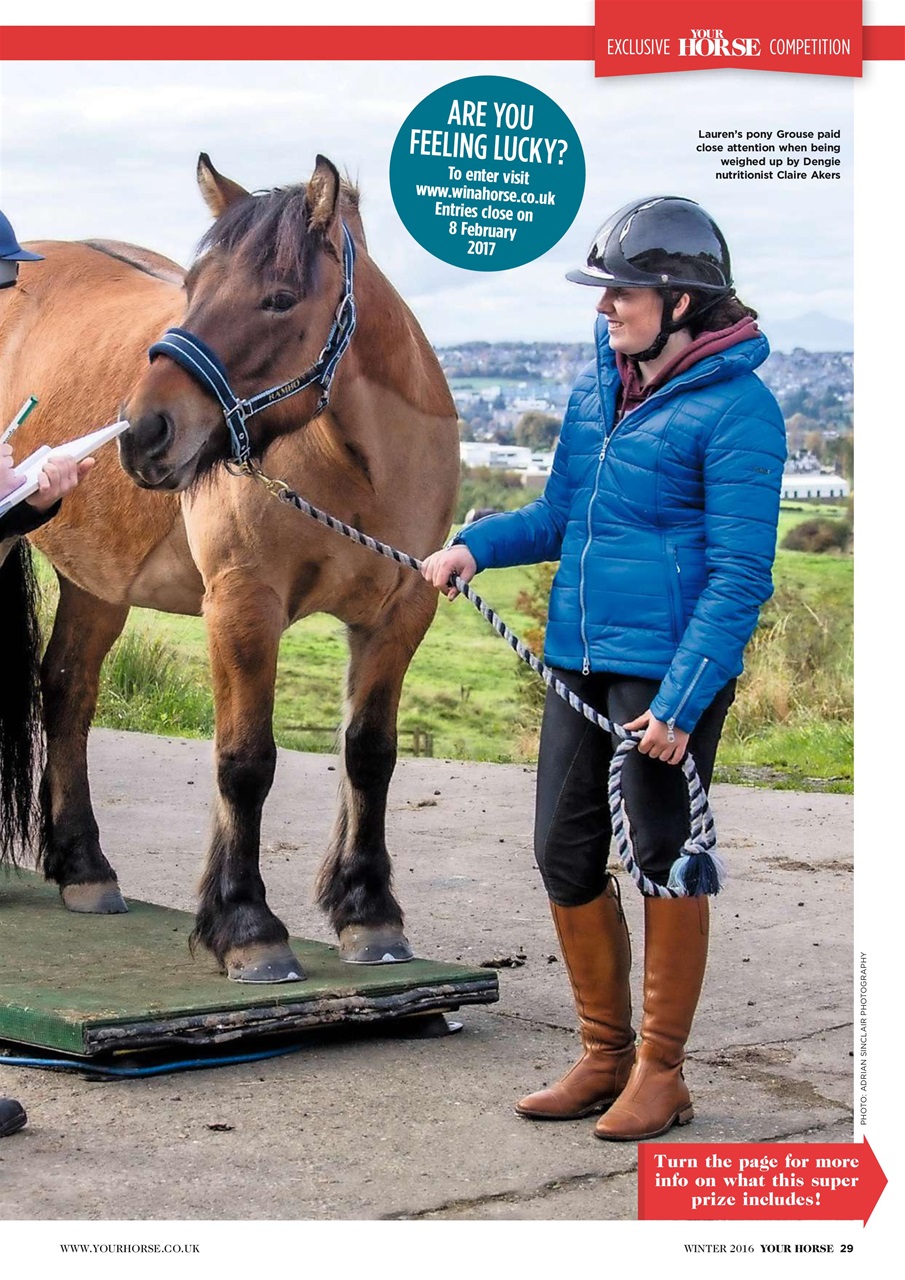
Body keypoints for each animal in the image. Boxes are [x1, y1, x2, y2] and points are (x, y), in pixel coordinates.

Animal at [0, 153, 460, 982]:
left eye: (278, 298)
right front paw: (247, 925)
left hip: (98, 582)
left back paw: (84, 867)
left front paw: (367, 911)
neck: (360, 468)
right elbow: (246, 762)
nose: (144, 430)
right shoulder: (244, 605)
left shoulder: (400, 614)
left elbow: (369, 755)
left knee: (70, 689)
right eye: (193, 286)